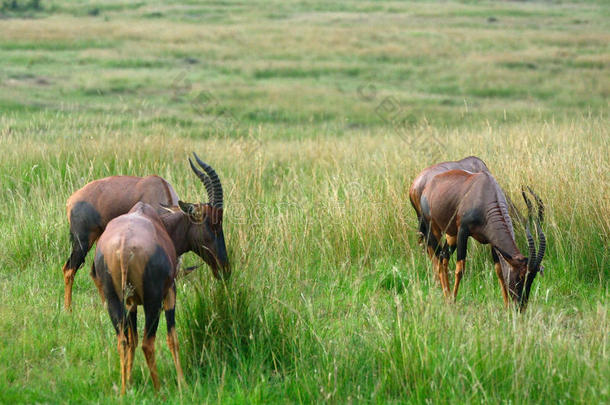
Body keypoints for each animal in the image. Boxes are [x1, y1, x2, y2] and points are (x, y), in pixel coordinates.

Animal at [92, 155, 228, 392]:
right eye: (213, 223)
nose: (224, 269)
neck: (155, 219)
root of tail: (124, 246)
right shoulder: (170, 292)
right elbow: (172, 338)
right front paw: (183, 383)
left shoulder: (131, 303)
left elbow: (132, 340)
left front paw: (129, 383)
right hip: (153, 301)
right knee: (149, 343)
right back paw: (159, 390)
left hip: (114, 300)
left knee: (123, 341)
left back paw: (124, 391)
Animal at [410, 166, 544, 310]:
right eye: (519, 277)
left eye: (532, 278)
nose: (520, 307)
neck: (485, 191)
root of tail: (426, 187)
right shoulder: (463, 232)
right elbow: (460, 269)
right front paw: (455, 301)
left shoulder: (493, 242)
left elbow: (499, 271)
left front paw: (506, 305)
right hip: (433, 229)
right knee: (437, 258)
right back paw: (448, 298)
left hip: (451, 235)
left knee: (443, 257)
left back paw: (447, 297)